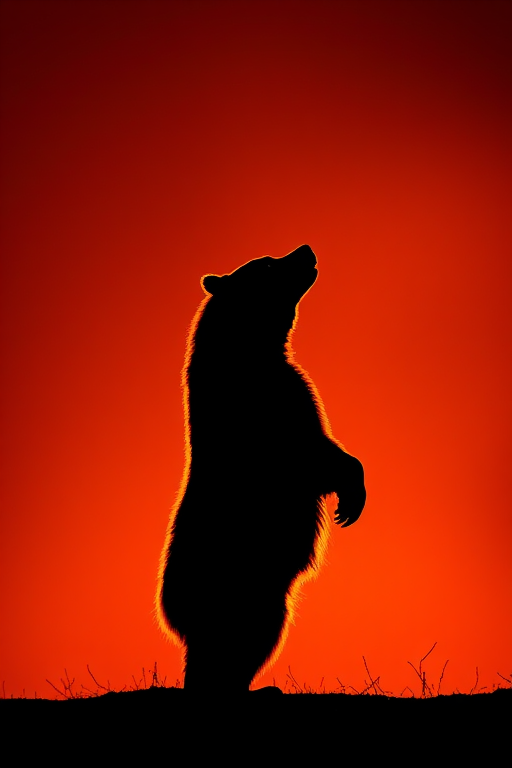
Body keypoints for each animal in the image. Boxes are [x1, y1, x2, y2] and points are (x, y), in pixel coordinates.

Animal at [156, 244, 366, 693]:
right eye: (268, 263)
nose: (305, 249)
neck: (250, 348)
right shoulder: (273, 408)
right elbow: (314, 455)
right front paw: (351, 499)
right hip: (245, 584)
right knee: (243, 641)